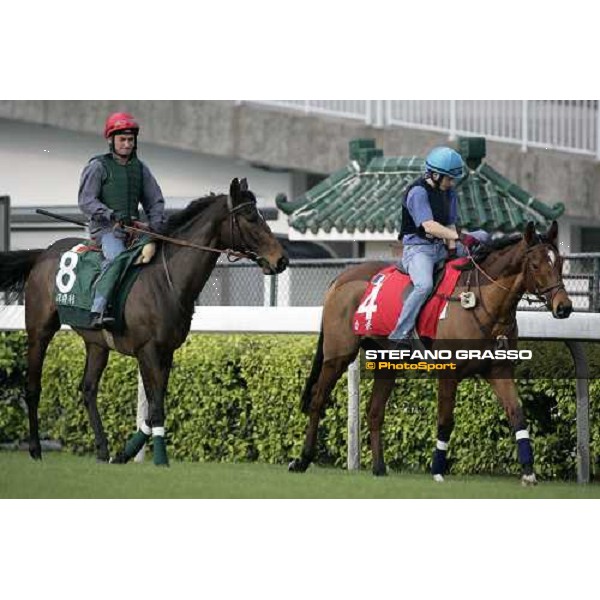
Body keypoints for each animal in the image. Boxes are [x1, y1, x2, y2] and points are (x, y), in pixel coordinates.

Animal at [0, 176, 288, 466]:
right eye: (250, 217)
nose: (281, 259)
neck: (166, 279)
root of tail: (42, 253)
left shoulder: (166, 351)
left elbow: (154, 406)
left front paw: (124, 453)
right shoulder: (147, 350)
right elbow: (156, 406)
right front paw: (160, 459)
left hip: (97, 343)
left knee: (89, 389)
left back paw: (102, 450)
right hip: (39, 330)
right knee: (33, 388)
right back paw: (36, 449)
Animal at [290, 223, 572, 486]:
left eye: (559, 262)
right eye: (535, 265)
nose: (564, 307)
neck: (481, 303)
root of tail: (339, 280)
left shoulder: (499, 371)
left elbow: (517, 415)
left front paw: (528, 472)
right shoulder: (449, 373)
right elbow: (445, 420)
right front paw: (437, 469)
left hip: (386, 361)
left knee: (374, 411)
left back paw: (379, 467)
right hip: (338, 355)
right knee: (317, 401)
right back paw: (302, 460)